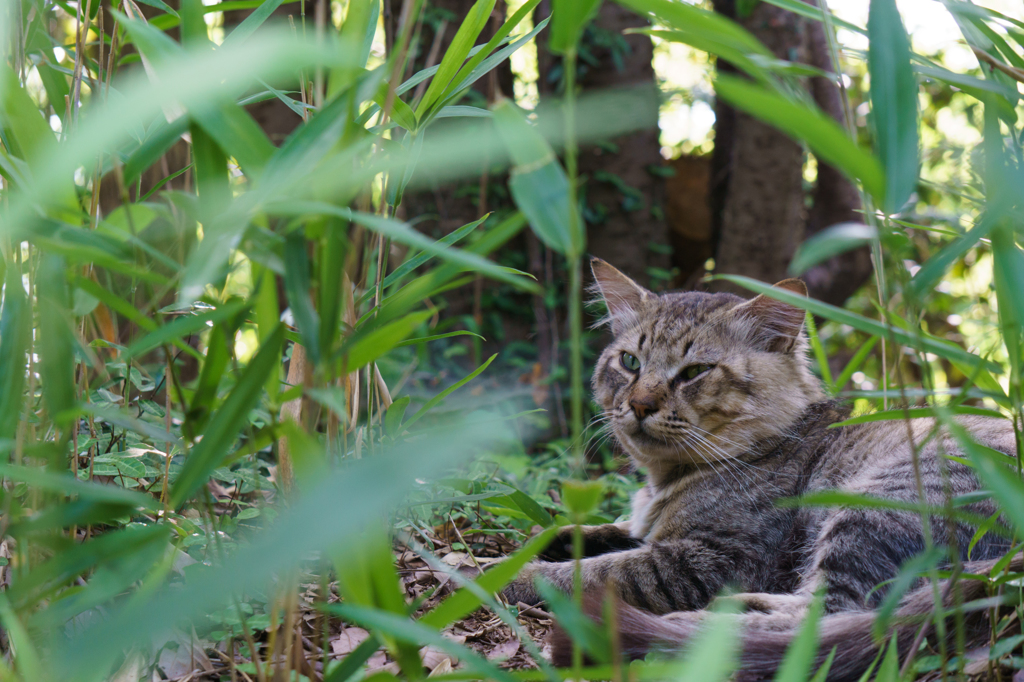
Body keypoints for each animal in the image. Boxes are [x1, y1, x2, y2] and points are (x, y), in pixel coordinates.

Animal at [499, 258, 1011, 675]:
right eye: (629, 362)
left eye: (694, 372)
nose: (640, 405)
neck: (665, 480)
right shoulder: (650, 530)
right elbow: (595, 532)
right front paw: (543, 543)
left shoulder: (708, 559)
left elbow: (594, 572)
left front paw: (504, 574)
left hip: (871, 509)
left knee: (833, 617)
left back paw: (703, 625)